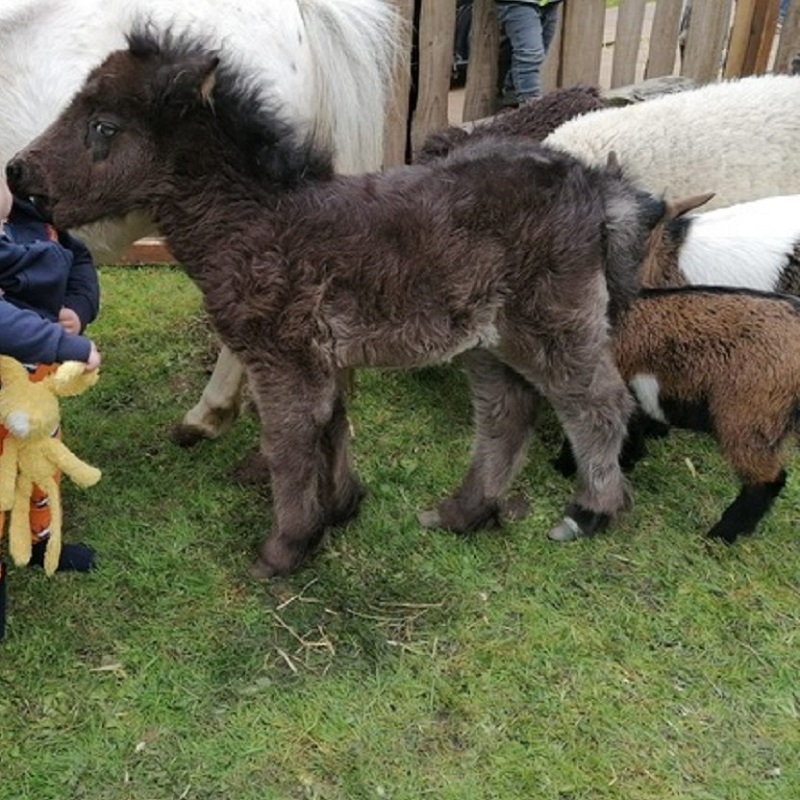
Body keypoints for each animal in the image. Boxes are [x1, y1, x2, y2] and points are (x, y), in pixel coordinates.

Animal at [6, 29, 668, 576]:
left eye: (103, 127)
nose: (17, 172)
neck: (254, 220)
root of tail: (593, 184)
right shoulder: (317, 357)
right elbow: (331, 426)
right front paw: (341, 510)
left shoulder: (283, 358)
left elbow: (289, 441)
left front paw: (286, 548)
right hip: (488, 339)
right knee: (507, 412)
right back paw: (464, 512)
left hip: (553, 320)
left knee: (597, 404)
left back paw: (590, 511)